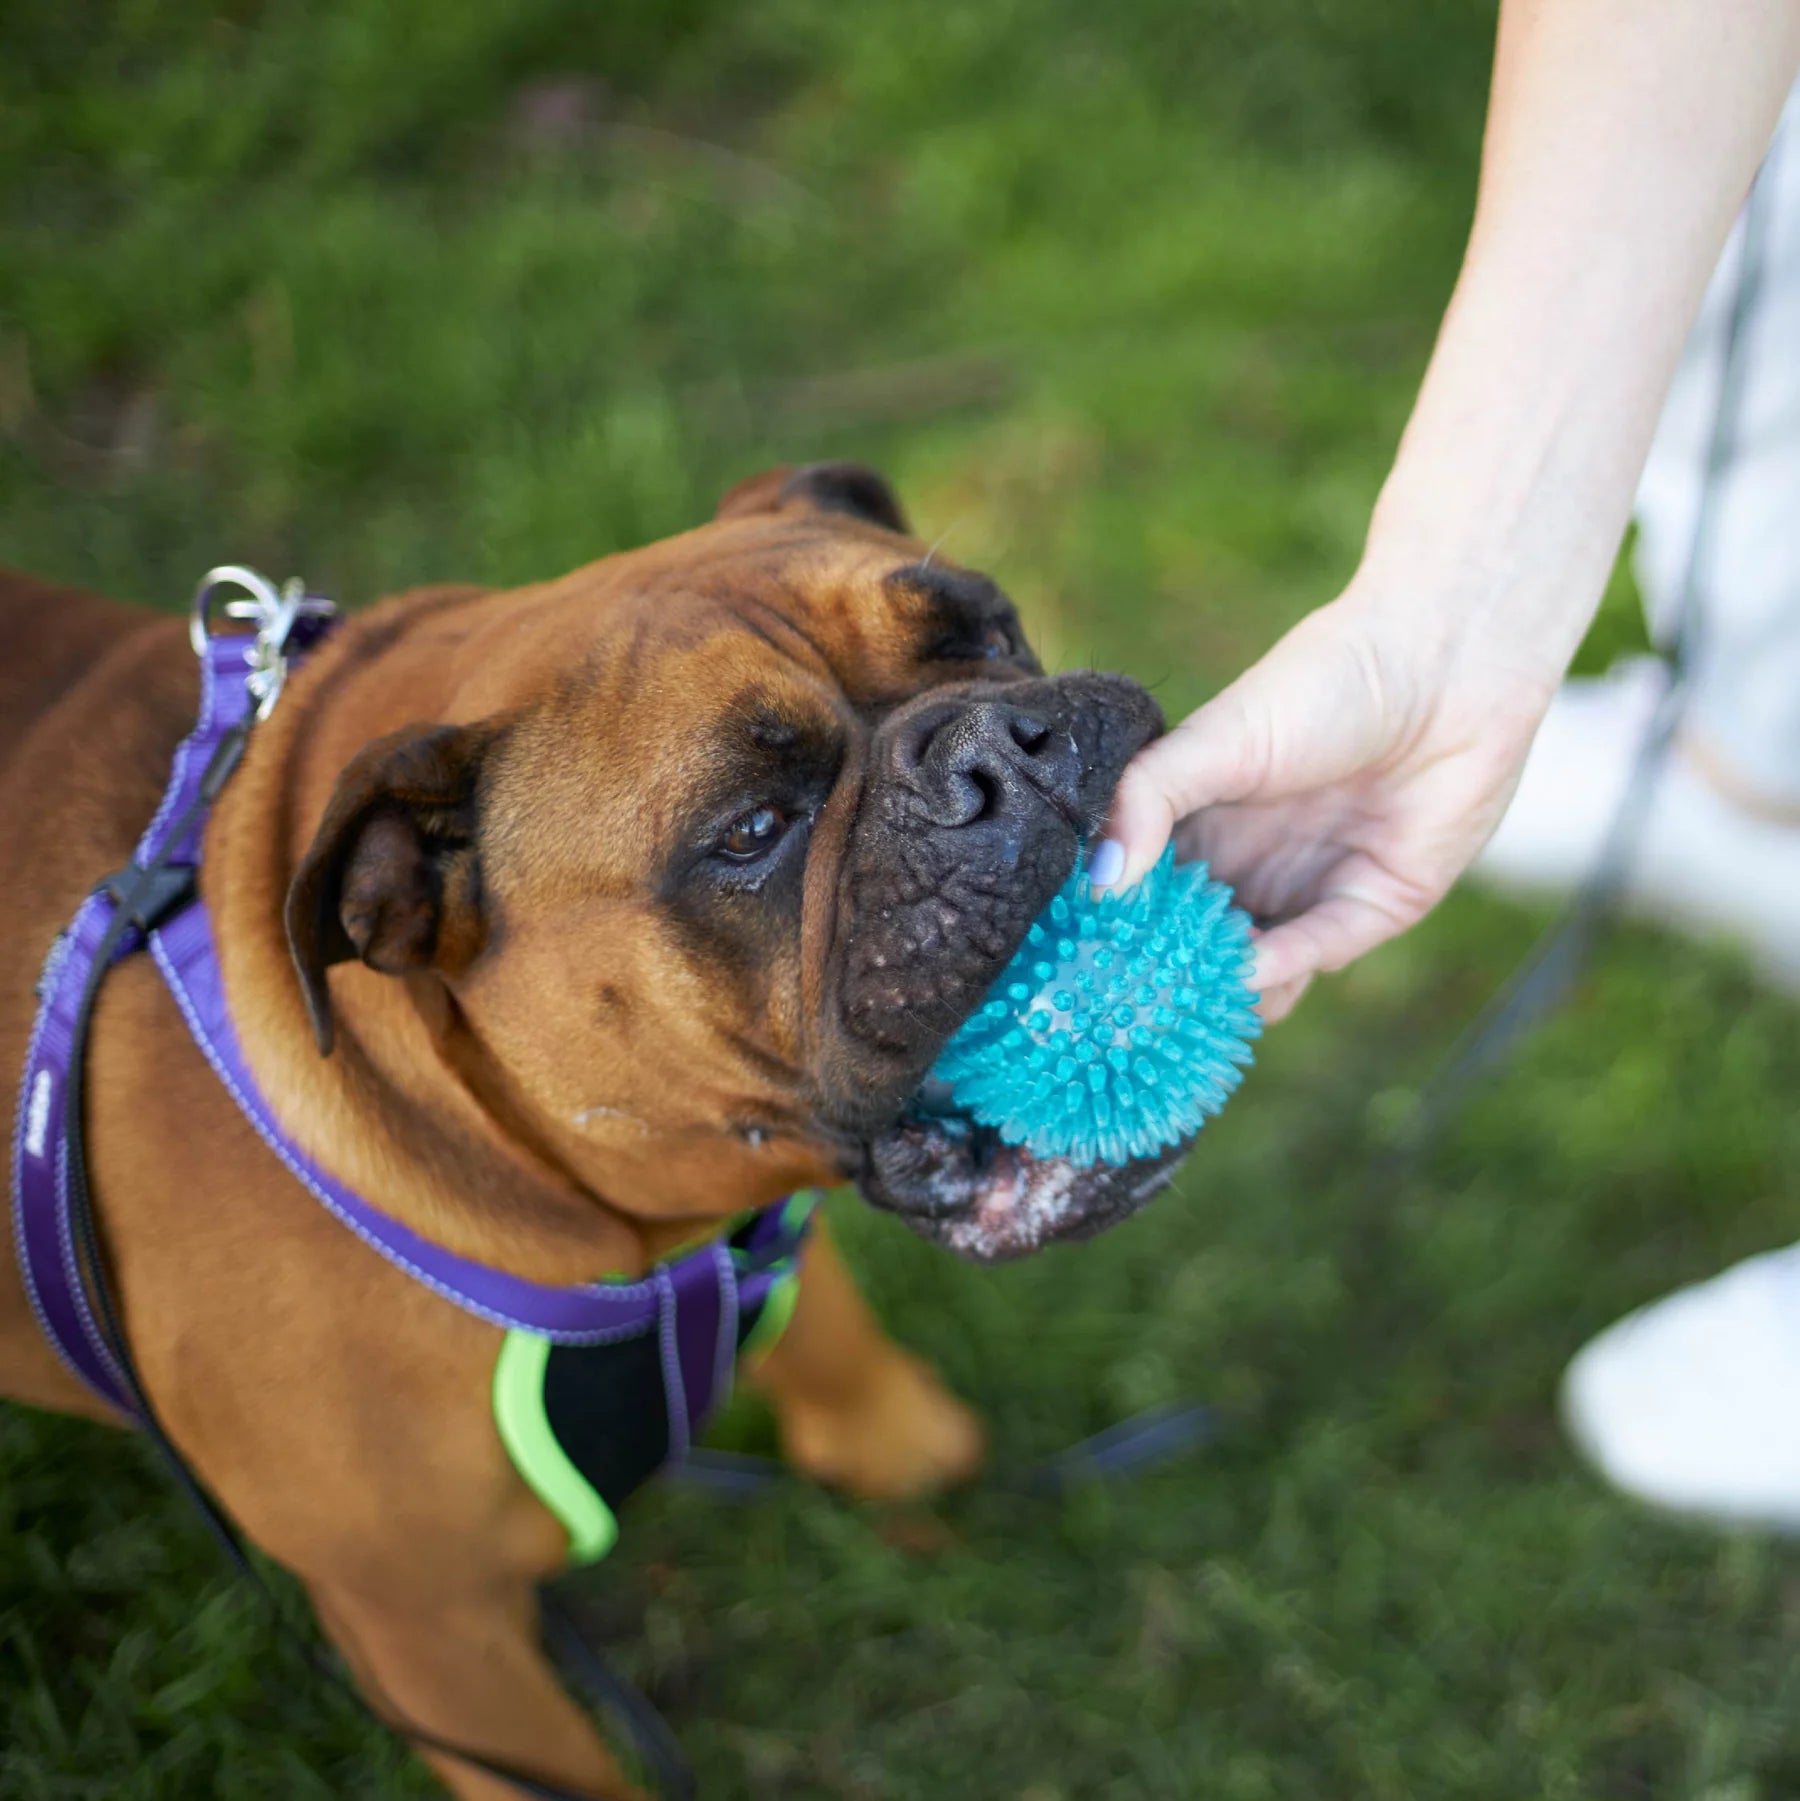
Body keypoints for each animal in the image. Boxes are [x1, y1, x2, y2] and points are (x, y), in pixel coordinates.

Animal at [0, 468, 1174, 1801]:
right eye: (750, 831)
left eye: (990, 632)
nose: (1007, 746)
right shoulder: (439, 1641)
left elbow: (832, 1334)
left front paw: (910, 1448)